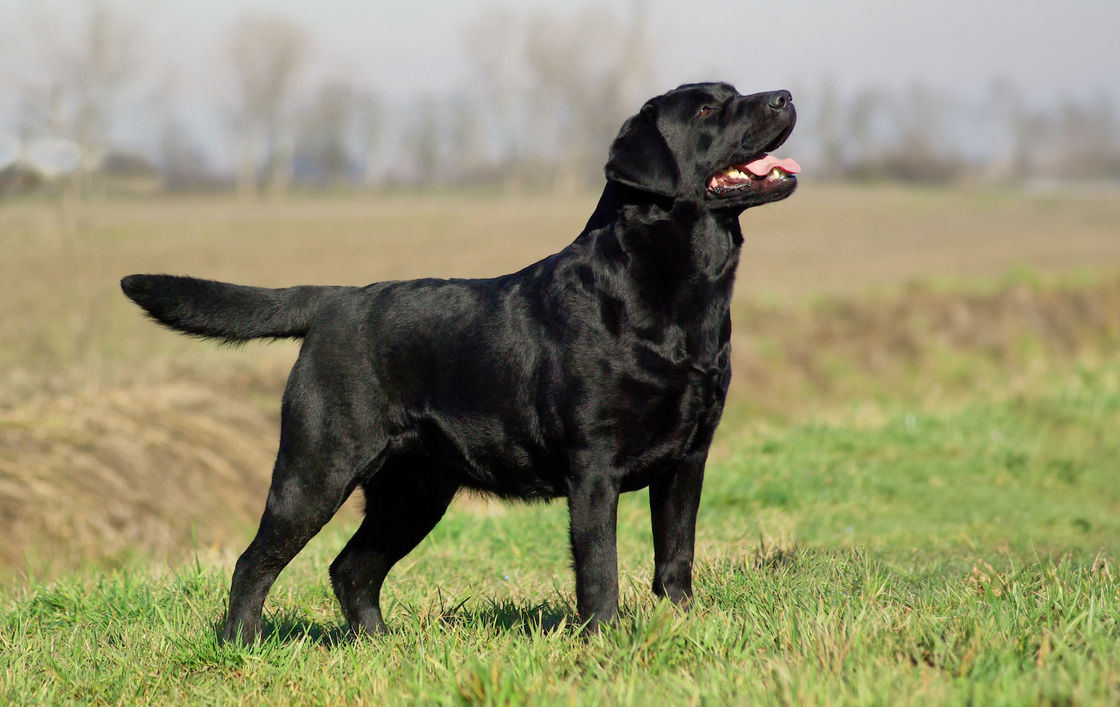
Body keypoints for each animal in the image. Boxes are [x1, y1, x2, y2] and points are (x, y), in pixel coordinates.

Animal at [122, 82, 798, 645]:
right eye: (707, 111)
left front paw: (683, 626)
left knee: (351, 568)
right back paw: (241, 645)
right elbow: (599, 571)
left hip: (415, 490)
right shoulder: (594, 468)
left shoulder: (689, 456)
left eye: (736, 91)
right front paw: (606, 641)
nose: (785, 96)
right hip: (316, 469)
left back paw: (380, 646)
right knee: (254, 562)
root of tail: (332, 300)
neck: (674, 293)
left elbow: (675, 557)